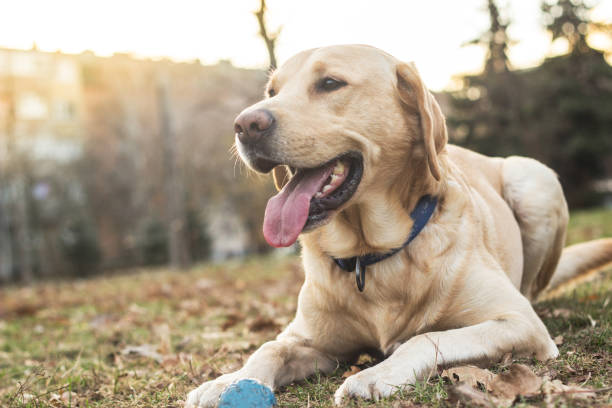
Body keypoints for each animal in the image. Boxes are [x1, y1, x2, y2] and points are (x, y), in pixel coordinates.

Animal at [186, 43, 612, 406]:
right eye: (272, 90)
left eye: (330, 83)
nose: (245, 124)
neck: (369, 254)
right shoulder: (309, 340)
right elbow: (269, 347)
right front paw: (225, 381)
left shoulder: (519, 323)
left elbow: (425, 338)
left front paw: (374, 375)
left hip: (535, 178)